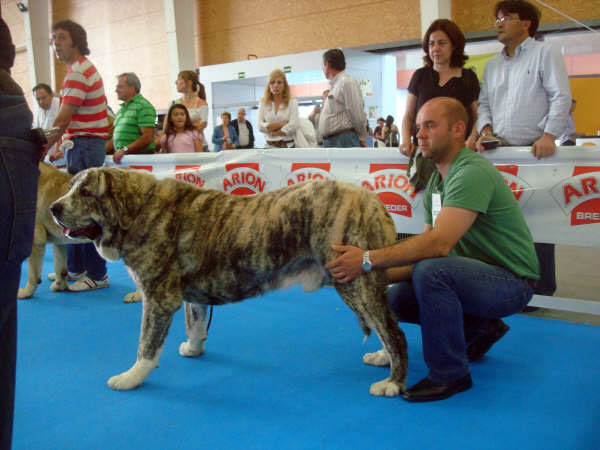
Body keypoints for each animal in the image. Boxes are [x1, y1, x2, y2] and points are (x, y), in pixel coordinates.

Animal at [50, 167, 408, 396]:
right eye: (71, 186)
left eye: (86, 192)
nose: (54, 207)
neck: (138, 209)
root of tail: (373, 201)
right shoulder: (189, 296)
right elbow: (195, 323)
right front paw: (194, 349)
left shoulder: (157, 298)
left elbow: (146, 345)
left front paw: (131, 377)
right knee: (385, 325)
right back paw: (383, 358)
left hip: (353, 280)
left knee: (395, 332)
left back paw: (393, 383)